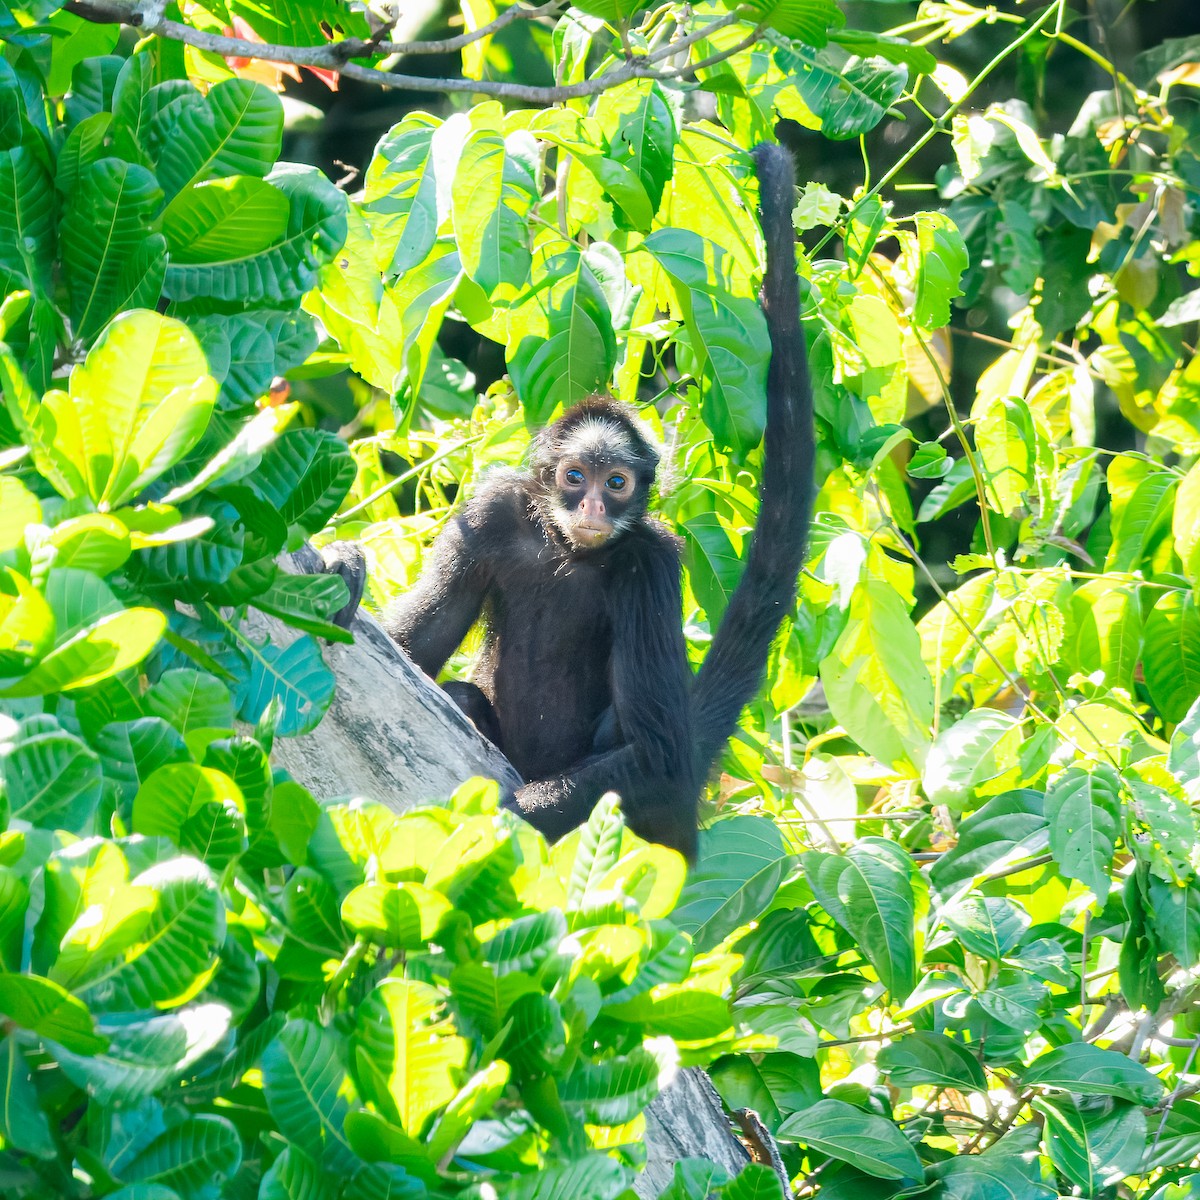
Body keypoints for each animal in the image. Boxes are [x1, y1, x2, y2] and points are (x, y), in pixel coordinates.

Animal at [327, 142, 814, 860]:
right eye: (576, 477)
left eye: (616, 485)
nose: (591, 511)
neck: (565, 553)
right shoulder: (489, 514)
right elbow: (416, 647)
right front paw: (341, 560)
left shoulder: (651, 560)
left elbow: (660, 755)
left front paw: (503, 821)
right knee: (462, 694)